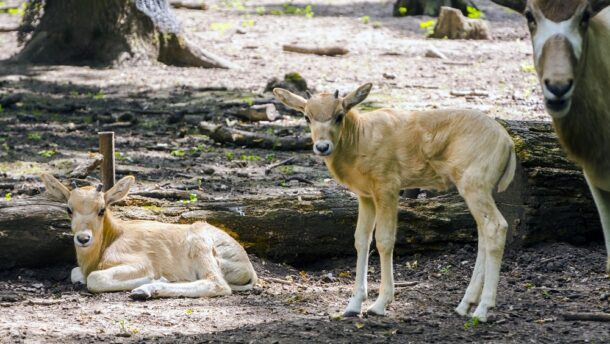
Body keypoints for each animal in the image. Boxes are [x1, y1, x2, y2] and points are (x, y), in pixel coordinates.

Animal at [39, 173, 254, 300]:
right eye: (69, 209)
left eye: (102, 209)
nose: (83, 239)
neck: (113, 236)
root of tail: (246, 265)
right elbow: (76, 273)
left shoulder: (140, 262)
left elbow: (94, 278)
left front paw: (149, 280)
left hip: (201, 246)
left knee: (217, 284)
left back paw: (146, 289)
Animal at [274, 84, 516, 322]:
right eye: (306, 116)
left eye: (339, 115)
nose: (322, 147)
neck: (361, 138)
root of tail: (508, 143)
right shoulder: (365, 196)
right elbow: (361, 240)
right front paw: (352, 306)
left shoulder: (388, 187)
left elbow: (384, 240)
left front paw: (379, 305)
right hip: (477, 190)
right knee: (483, 232)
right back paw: (465, 305)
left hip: (474, 186)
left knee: (496, 227)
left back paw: (483, 309)